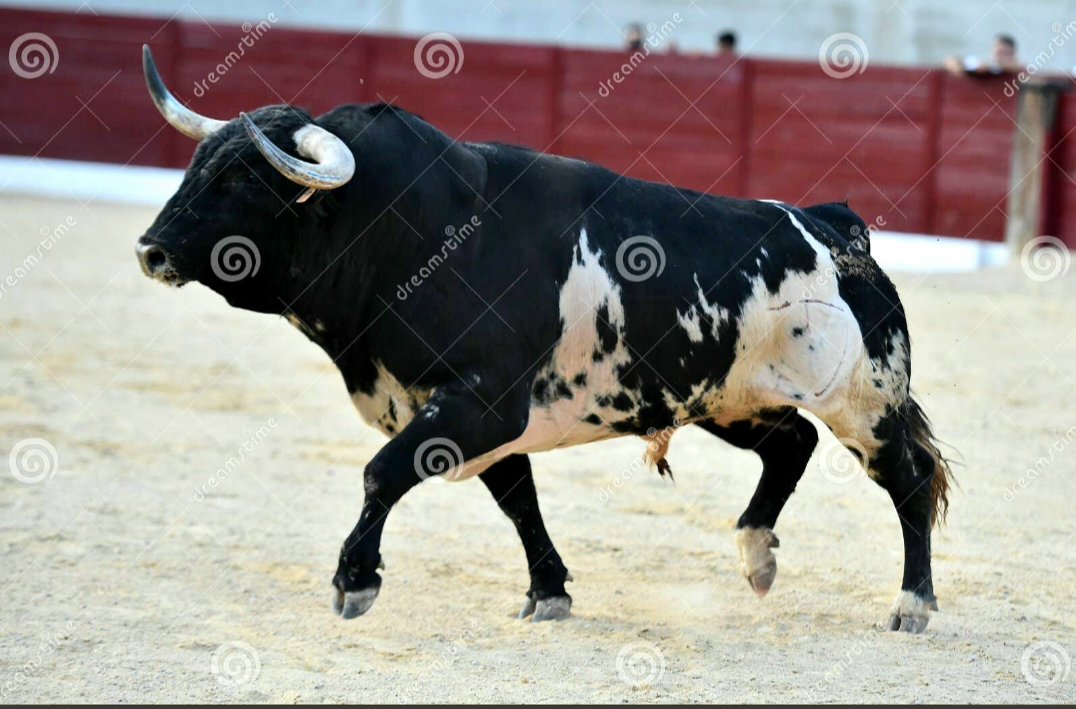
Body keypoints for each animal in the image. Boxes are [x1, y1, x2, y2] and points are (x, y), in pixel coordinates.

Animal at [135, 45, 952, 632]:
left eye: (246, 181)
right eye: (198, 165)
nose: (151, 249)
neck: (411, 232)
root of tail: (837, 229)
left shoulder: (481, 402)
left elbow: (382, 473)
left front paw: (354, 581)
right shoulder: (478, 415)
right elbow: (516, 498)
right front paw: (548, 592)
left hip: (865, 403)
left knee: (906, 481)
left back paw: (911, 605)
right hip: (729, 398)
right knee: (791, 446)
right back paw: (756, 558)